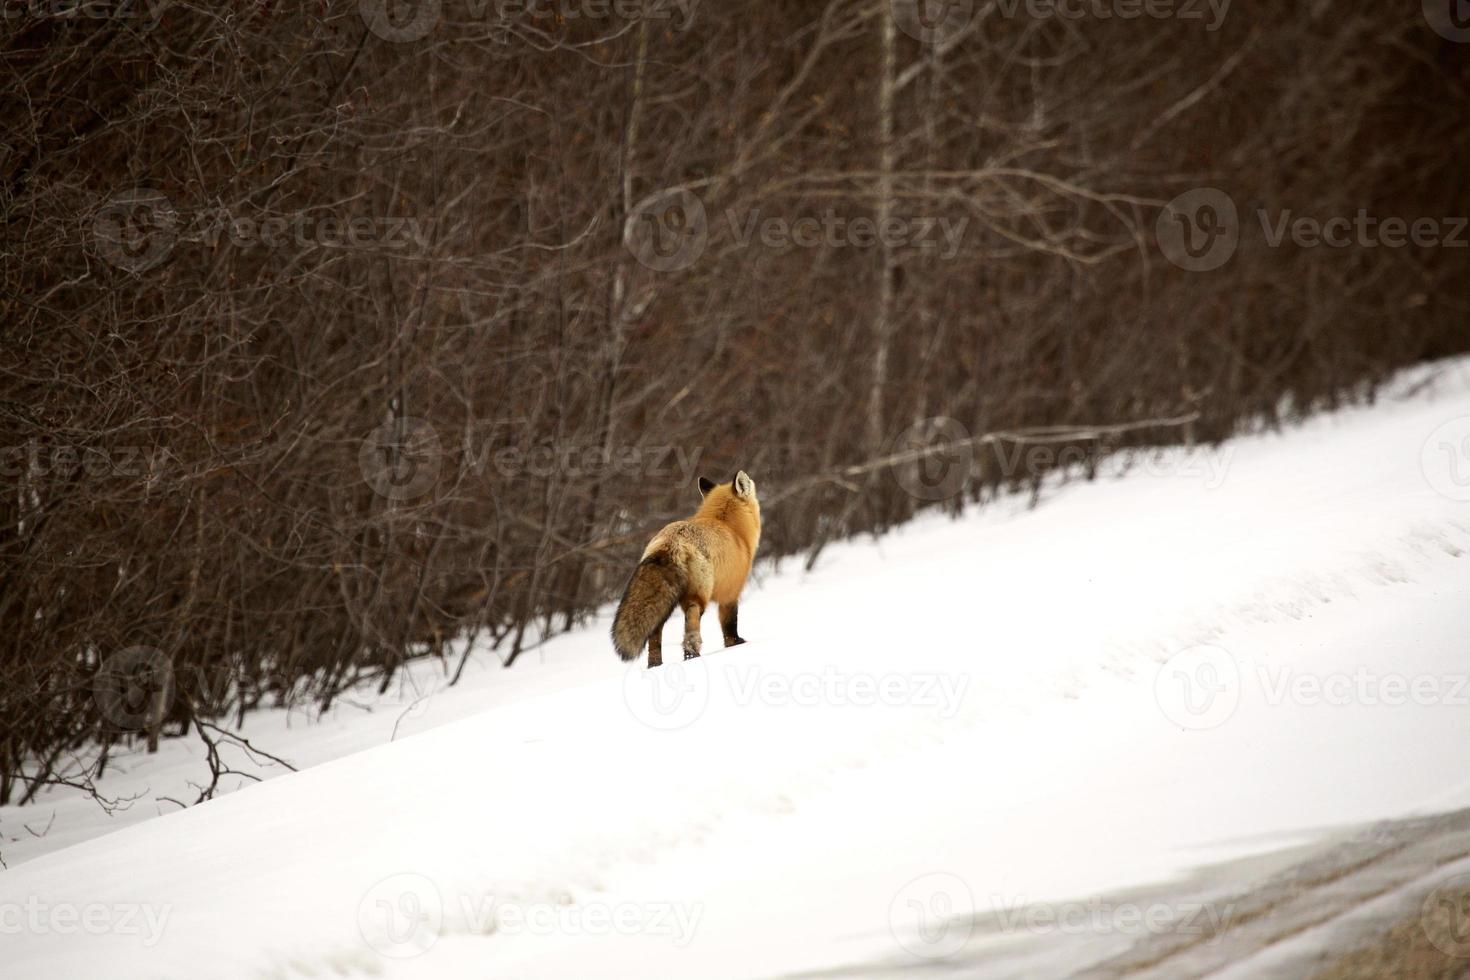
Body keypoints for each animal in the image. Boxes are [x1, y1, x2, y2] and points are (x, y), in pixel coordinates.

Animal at [614, 473, 764, 667]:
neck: (731, 528)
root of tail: (669, 543)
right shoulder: (730, 592)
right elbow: (730, 625)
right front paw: (735, 645)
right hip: (698, 597)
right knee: (691, 627)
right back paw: (691, 656)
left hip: (665, 602)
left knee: (655, 634)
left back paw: (655, 665)